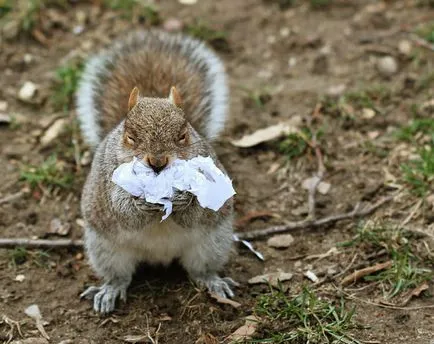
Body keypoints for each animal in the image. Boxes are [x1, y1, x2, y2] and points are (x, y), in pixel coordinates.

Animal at [75, 30, 237, 314]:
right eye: (130, 136)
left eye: (183, 135)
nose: (157, 161)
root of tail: (159, 256)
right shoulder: (108, 181)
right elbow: (123, 211)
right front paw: (140, 204)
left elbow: (197, 212)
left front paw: (186, 200)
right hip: (106, 249)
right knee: (119, 275)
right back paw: (110, 290)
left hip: (212, 243)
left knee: (201, 270)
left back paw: (213, 281)